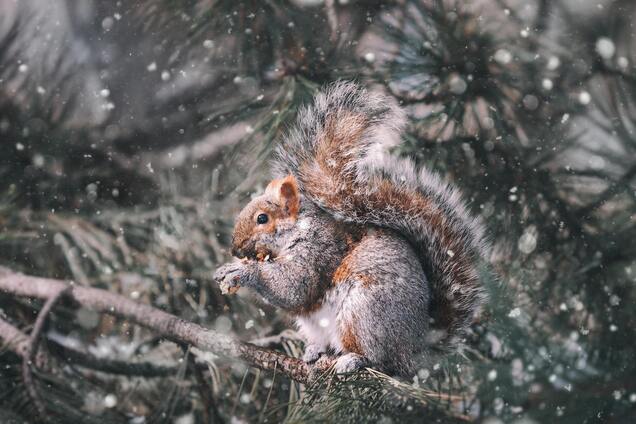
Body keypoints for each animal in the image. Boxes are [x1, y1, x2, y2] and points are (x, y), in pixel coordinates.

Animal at [214, 81, 486, 376]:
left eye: (262, 219)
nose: (235, 248)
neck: (298, 229)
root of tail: (419, 349)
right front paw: (227, 268)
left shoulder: (317, 251)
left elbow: (294, 288)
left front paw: (243, 271)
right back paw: (314, 351)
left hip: (365, 312)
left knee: (382, 359)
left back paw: (354, 359)